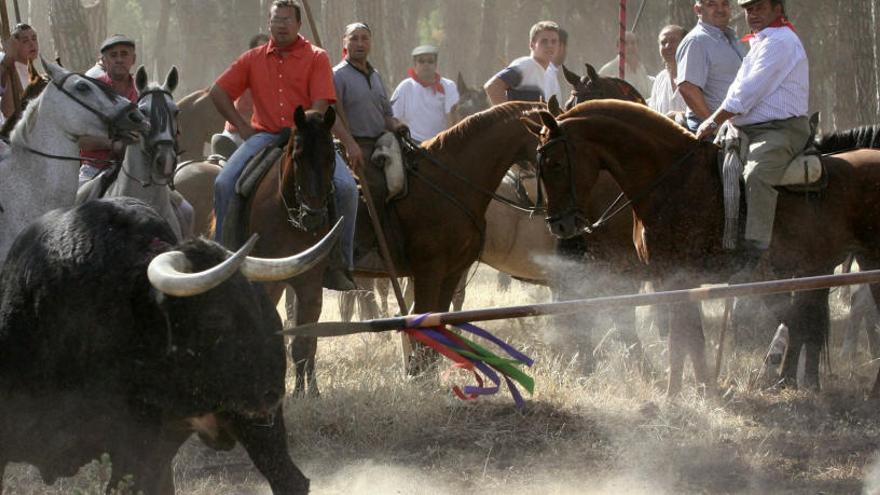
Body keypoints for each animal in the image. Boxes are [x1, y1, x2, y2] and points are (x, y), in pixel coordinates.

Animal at [524, 99, 880, 398]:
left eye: (555, 163)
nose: (559, 225)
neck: (672, 178)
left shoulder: (675, 277)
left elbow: (680, 337)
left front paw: (673, 394)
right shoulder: (679, 279)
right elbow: (692, 336)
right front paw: (702, 388)